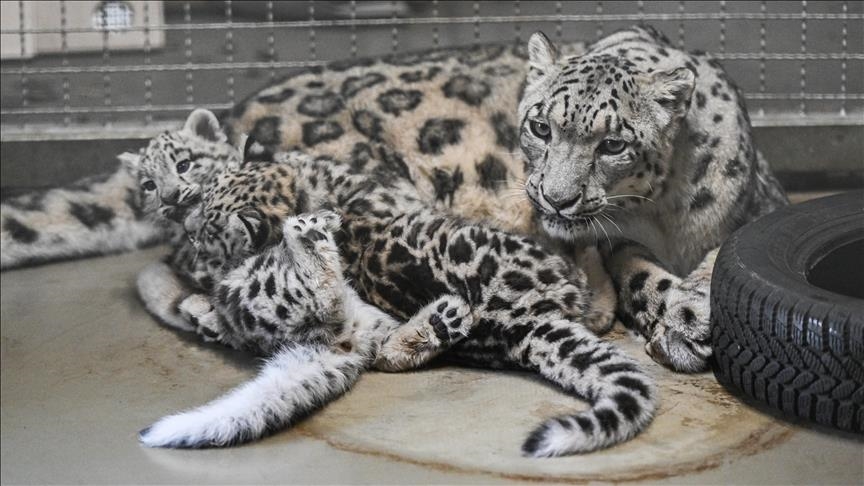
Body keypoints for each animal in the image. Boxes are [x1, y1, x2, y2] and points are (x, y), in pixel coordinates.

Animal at [1, 25, 787, 373]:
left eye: (614, 143)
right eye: (539, 125)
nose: (556, 200)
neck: (667, 213)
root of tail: (229, 113)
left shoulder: (758, 210)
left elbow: (731, 251)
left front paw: (695, 298)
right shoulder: (607, 239)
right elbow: (636, 268)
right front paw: (685, 315)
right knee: (184, 264)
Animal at [136, 150, 656, 457]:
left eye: (208, 225)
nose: (190, 235)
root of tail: (521, 320)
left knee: (379, 347)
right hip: (555, 277)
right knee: (595, 302)